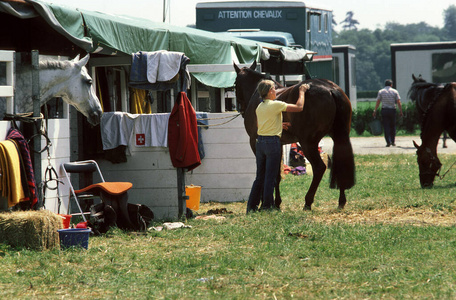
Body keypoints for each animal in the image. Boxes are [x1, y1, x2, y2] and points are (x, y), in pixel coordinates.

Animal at [235, 62, 356, 210]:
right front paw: (276, 203)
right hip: (339, 138)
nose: (241, 109)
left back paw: (308, 202)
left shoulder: (255, 142)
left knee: (319, 168)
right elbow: (276, 174)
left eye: (235, 84)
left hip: (308, 143)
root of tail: (331, 89)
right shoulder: (278, 144)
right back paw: (341, 201)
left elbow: (264, 172)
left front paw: (265, 203)